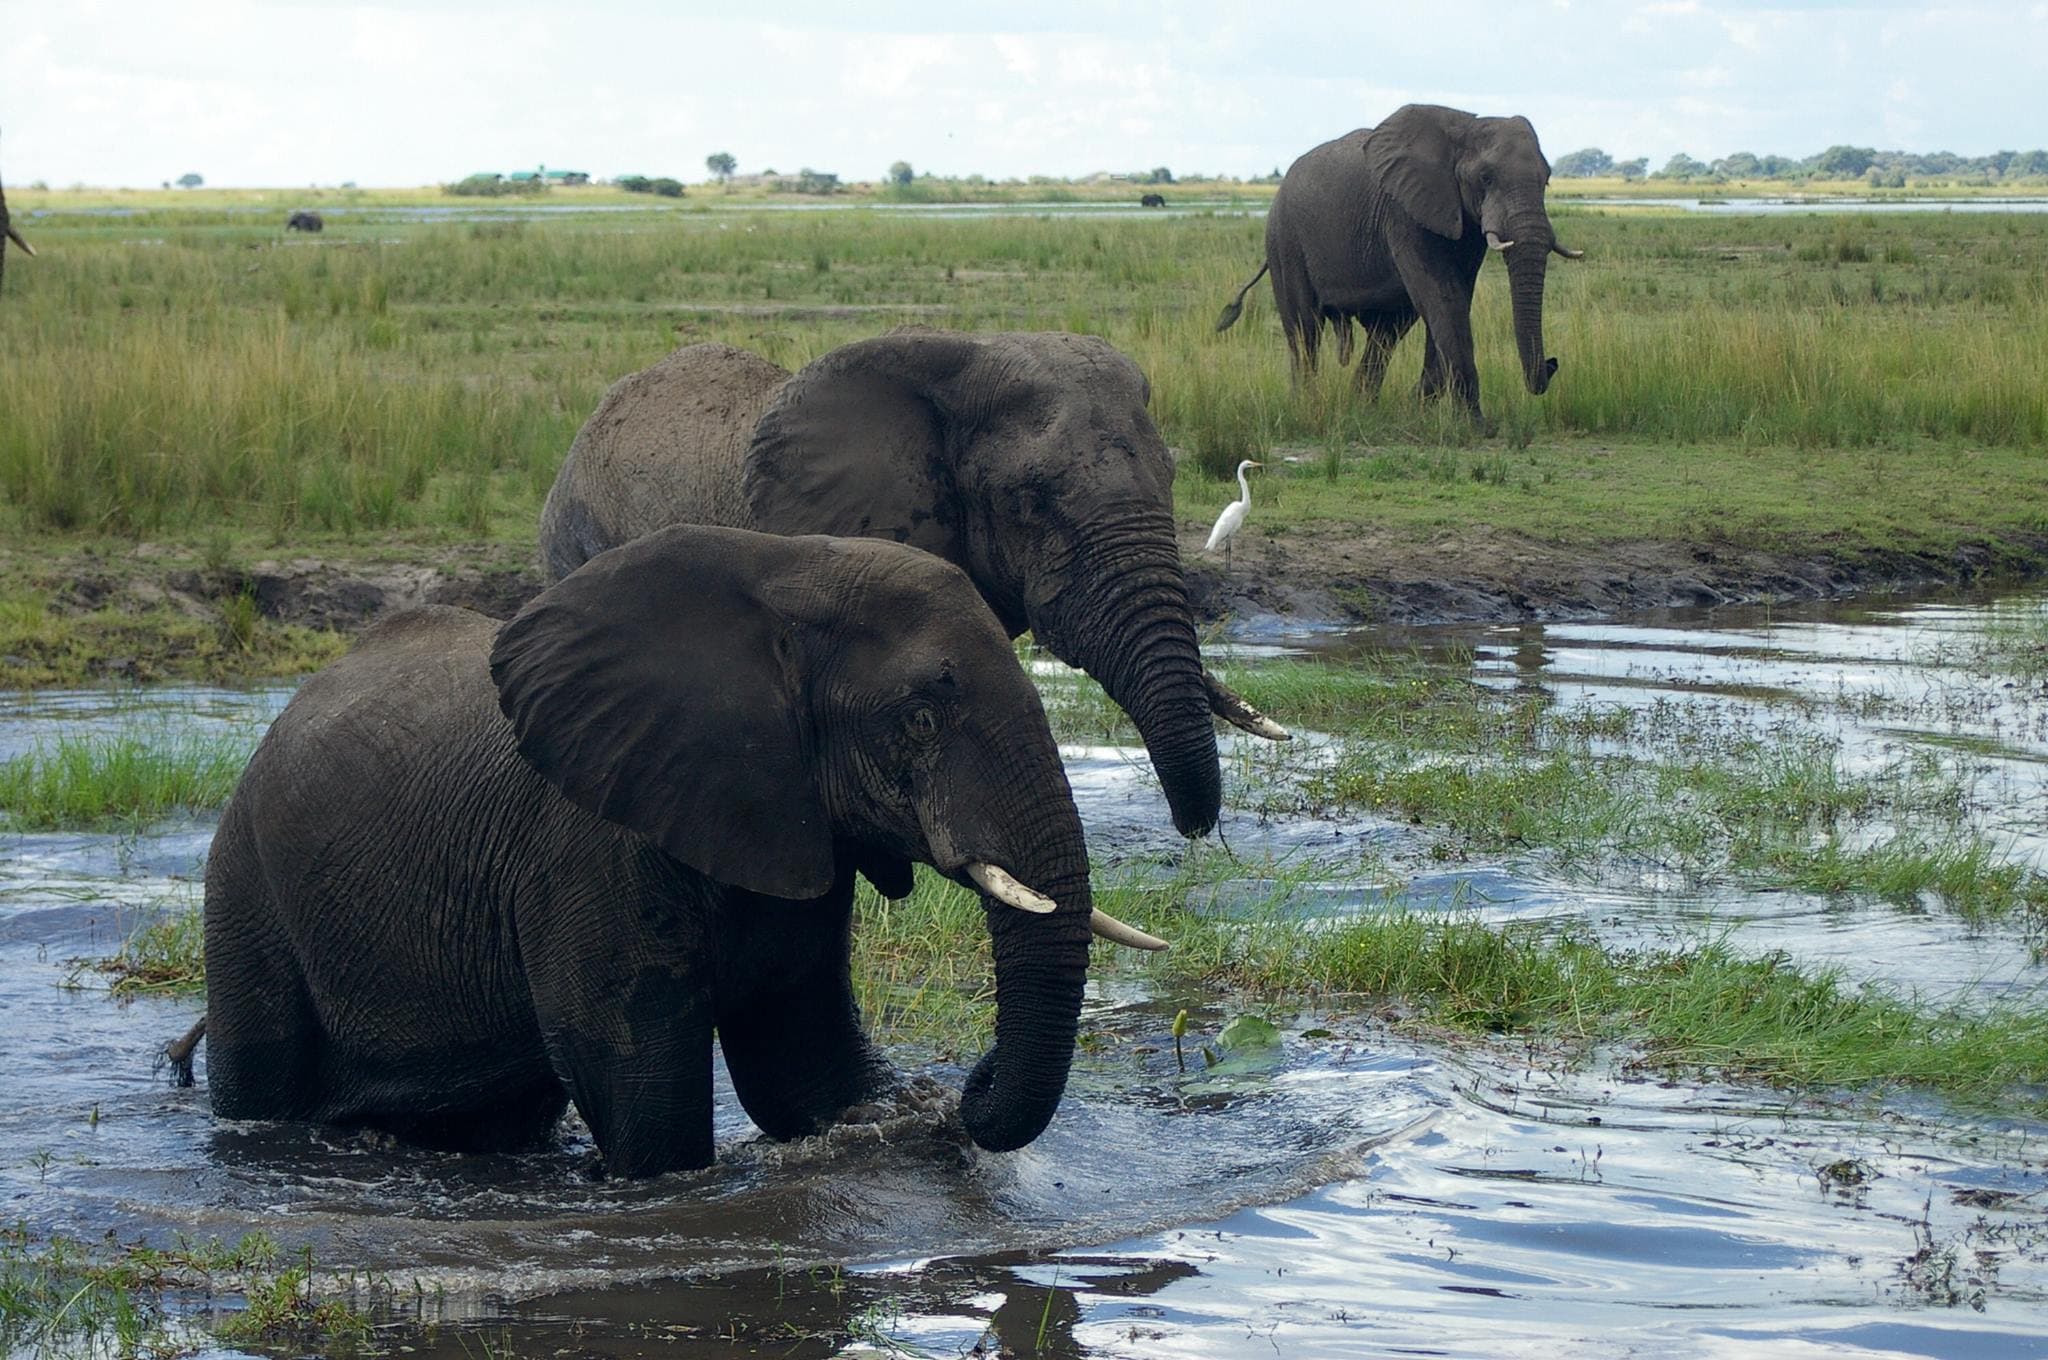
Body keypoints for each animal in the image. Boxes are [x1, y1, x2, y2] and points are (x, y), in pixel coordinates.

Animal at [196, 525, 1166, 1177]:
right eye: (921, 719)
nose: (967, 1082)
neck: (789, 571)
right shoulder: (588, 844)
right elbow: (641, 1094)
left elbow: (798, 1063)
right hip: (244, 891)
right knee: (262, 1079)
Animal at [1216, 104, 1582, 424]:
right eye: (1486, 177)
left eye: (1546, 179)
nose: (1552, 363)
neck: (1464, 126)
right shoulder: (1404, 212)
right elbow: (1442, 296)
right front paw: (1476, 424)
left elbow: (1453, 300)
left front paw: (1424, 407)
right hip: (1284, 238)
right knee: (1304, 328)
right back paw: (1306, 406)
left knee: (1386, 332)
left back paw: (1361, 407)